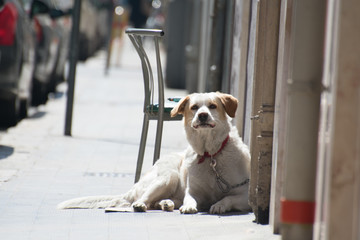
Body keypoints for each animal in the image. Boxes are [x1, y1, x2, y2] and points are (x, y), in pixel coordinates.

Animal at [57, 92, 252, 214]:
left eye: (212, 106)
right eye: (194, 107)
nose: (202, 115)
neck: (211, 155)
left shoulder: (245, 195)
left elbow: (228, 198)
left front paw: (219, 205)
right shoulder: (193, 192)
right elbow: (190, 200)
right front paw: (189, 207)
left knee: (158, 202)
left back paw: (166, 203)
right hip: (168, 177)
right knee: (144, 199)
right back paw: (144, 204)